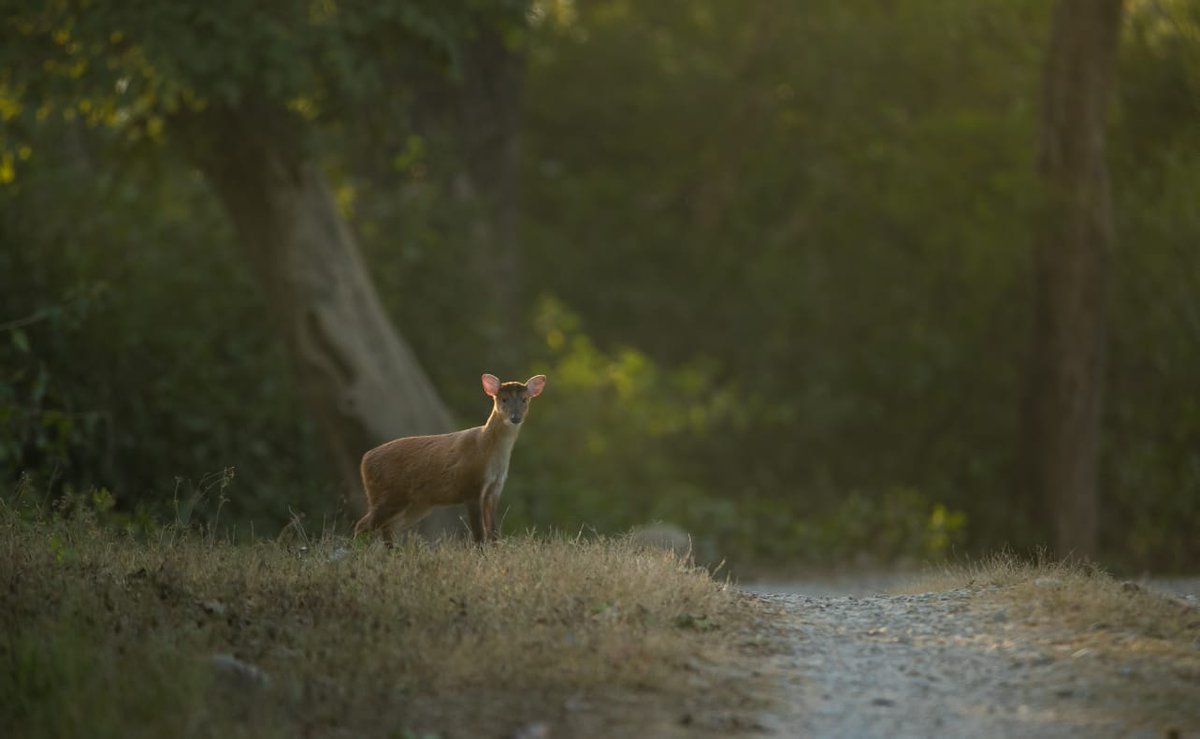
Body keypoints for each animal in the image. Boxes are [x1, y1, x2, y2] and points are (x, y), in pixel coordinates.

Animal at [352, 374, 547, 542]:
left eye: (524, 399)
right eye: (503, 399)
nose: (515, 417)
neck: (487, 452)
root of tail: (364, 460)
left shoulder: (495, 489)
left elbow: (494, 533)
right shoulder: (471, 485)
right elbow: (479, 534)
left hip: (415, 504)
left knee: (387, 528)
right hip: (389, 494)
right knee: (363, 525)